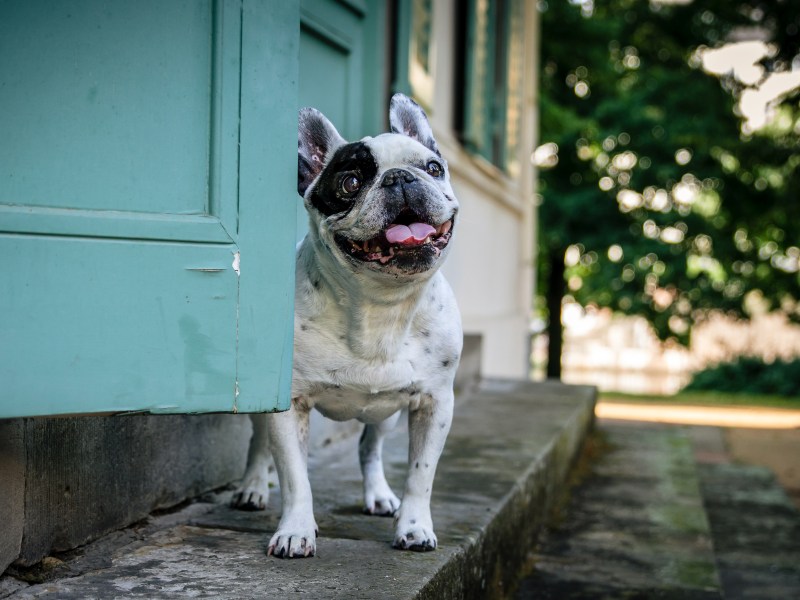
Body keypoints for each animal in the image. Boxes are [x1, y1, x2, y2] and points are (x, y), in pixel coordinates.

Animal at [230, 92, 462, 556]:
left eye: (433, 168)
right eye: (351, 183)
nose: (399, 178)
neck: (380, 303)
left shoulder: (434, 404)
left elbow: (421, 474)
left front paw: (414, 527)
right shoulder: (289, 404)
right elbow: (295, 478)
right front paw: (295, 530)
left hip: (387, 412)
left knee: (369, 448)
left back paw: (379, 495)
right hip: (262, 400)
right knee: (259, 443)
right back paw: (252, 487)